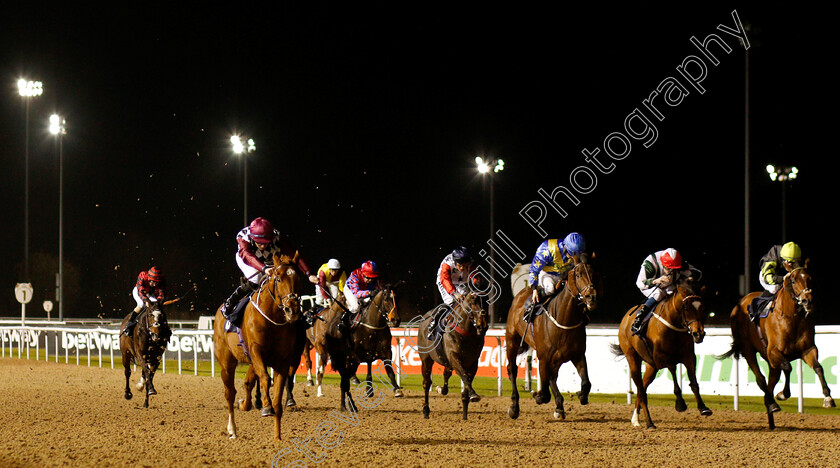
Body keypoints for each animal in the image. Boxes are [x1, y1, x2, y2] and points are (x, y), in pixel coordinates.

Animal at [213, 252, 306, 438]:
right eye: (278, 278)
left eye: (299, 278)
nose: (292, 310)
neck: (272, 319)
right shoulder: (256, 351)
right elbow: (265, 378)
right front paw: (266, 407)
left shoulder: (282, 360)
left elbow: (277, 397)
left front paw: (277, 437)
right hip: (227, 362)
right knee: (230, 393)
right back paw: (232, 429)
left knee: (247, 383)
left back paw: (245, 404)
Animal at [416, 290, 488, 418]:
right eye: (472, 302)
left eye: (484, 302)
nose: (482, 325)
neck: (466, 334)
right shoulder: (454, 357)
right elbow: (464, 376)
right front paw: (474, 395)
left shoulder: (473, 362)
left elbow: (466, 381)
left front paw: (465, 415)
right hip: (426, 359)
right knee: (426, 383)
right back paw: (426, 410)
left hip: (447, 362)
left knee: (446, 374)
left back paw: (442, 390)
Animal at [506, 260, 596, 420]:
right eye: (578, 275)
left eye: (593, 273)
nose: (591, 297)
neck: (564, 319)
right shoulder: (544, 357)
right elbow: (545, 393)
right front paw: (537, 395)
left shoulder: (578, 354)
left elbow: (586, 382)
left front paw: (580, 395)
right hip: (512, 340)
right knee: (512, 370)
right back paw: (514, 407)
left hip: (557, 358)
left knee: (553, 377)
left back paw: (559, 406)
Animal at [612, 280, 708, 430]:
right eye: (686, 308)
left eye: (702, 308)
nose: (698, 334)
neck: (674, 327)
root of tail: (625, 319)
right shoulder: (660, 358)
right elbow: (673, 370)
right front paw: (680, 404)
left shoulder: (689, 357)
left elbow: (694, 383)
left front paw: (703, 408)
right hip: (633, 359)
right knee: (641, 390)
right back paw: (649, 423)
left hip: (651, 367)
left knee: (642, 388)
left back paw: (636, 419)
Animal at [720, 262, 832, 430]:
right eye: (793, 281)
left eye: (810, 279)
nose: (808, 300)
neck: (792, 318)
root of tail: (739, 304)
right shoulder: (773, 351)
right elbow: (788, 367)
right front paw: (783, 394)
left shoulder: (808, 350)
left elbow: (818, 367)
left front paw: (828, 398)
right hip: (748, 350)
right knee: (761, 379)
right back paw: (772, 404)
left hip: (770, 362)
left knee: (770, 383)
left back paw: (771, 417)